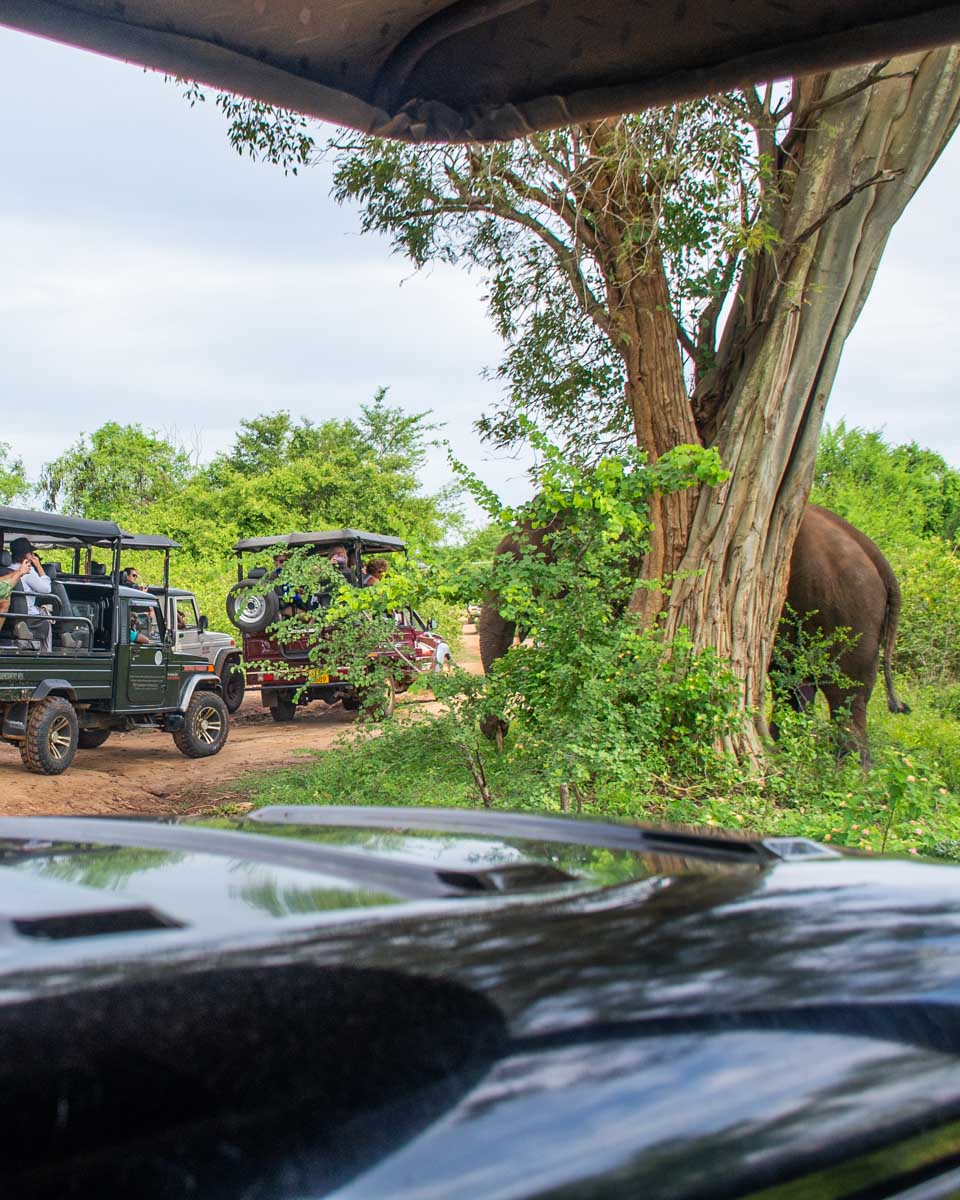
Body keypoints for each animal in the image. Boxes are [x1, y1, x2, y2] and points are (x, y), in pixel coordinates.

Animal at [477, 503, 909, 765]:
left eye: (531, 556)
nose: (497, 732)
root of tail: (880, 561)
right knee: (795, 681)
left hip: (852, 608)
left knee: (845, 690)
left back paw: (847, 772)